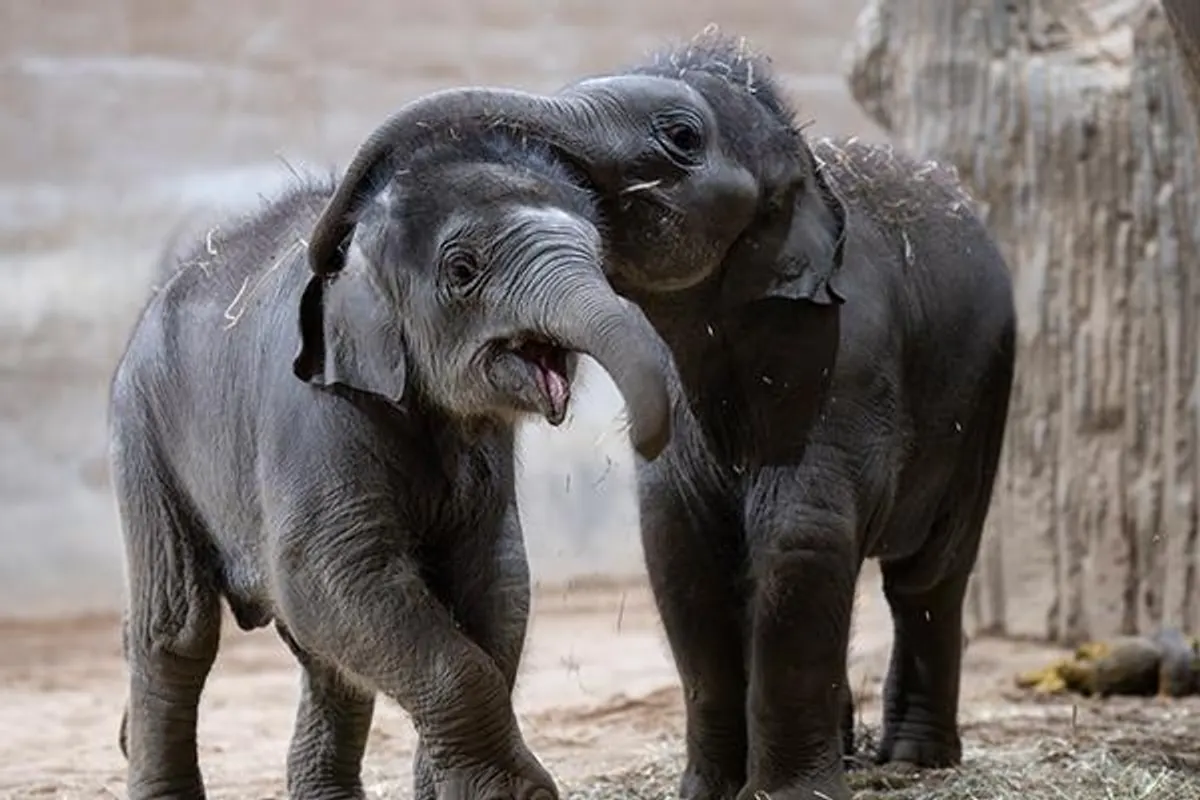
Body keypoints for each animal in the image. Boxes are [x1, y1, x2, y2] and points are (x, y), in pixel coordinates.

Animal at [107, 97, 674, 800]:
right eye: (463, 271)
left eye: (599, 253)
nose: (643, 438)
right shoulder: (311, 409)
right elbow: (327, 572)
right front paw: (515, 793)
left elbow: (494, 577)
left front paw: (452, 787)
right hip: (143, 435)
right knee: (177, 628)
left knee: (322, 657)